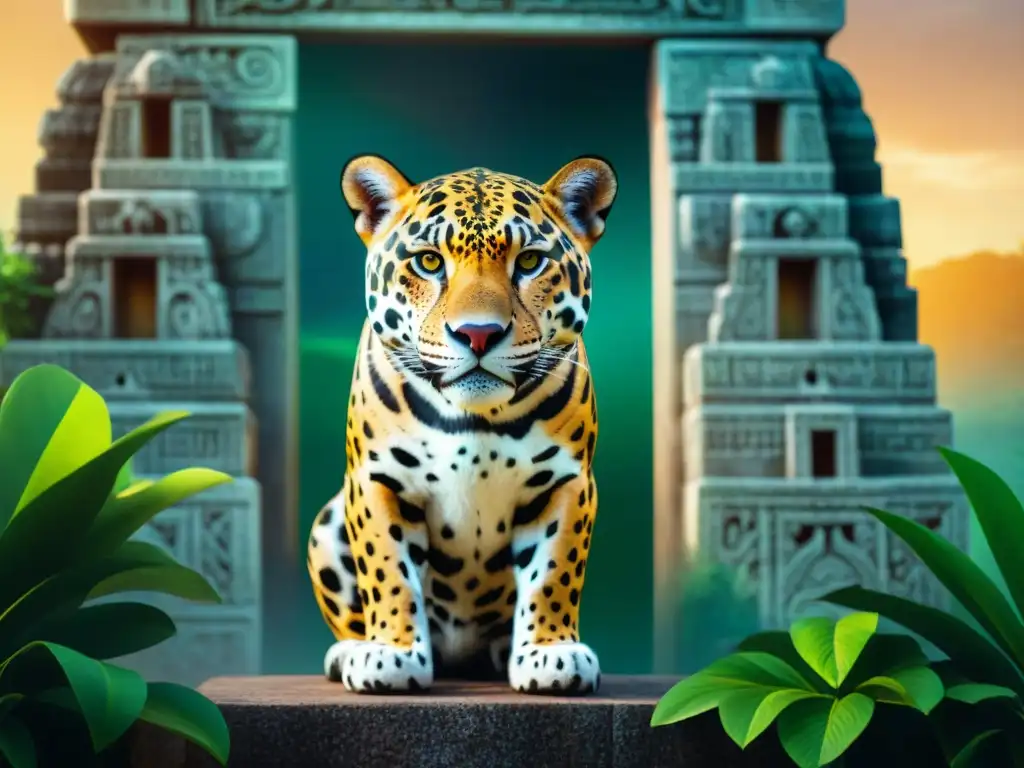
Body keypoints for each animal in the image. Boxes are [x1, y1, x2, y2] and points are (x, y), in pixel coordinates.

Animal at [306, 153, 616, 695]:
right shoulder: (376, 480)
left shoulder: (567, 483)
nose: (478, 334)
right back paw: (349, 651)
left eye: (529, 262)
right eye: (429, 262)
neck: (477, 418)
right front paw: (391, 653)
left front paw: (550, 653)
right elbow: (387, 569)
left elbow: (554, 571)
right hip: (327, 523)